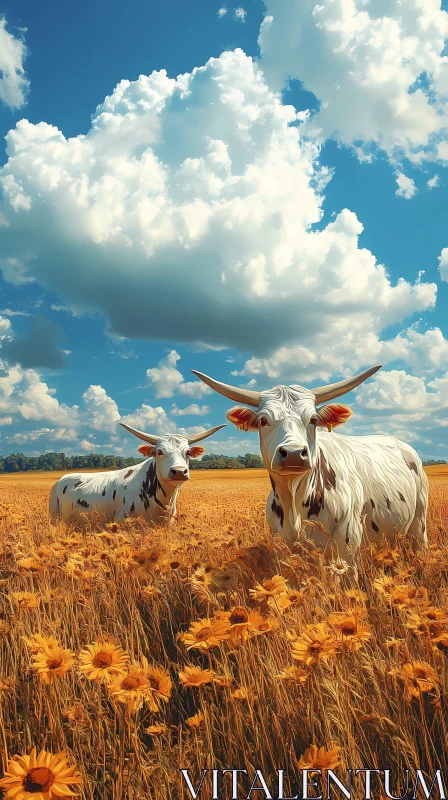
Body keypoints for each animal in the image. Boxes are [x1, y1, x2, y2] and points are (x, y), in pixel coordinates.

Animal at [50, 422, 224, 528]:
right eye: (159, 452)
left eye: (187, 452)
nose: (179, 471)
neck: (165, 498)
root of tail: (61, 479)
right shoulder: (122, 519)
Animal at [192, 368, 428, 564]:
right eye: (263, 420)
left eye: (314, 419)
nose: (294, 453)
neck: (293, 501)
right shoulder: (282, 544)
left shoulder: (347, 546)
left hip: (419, 522)